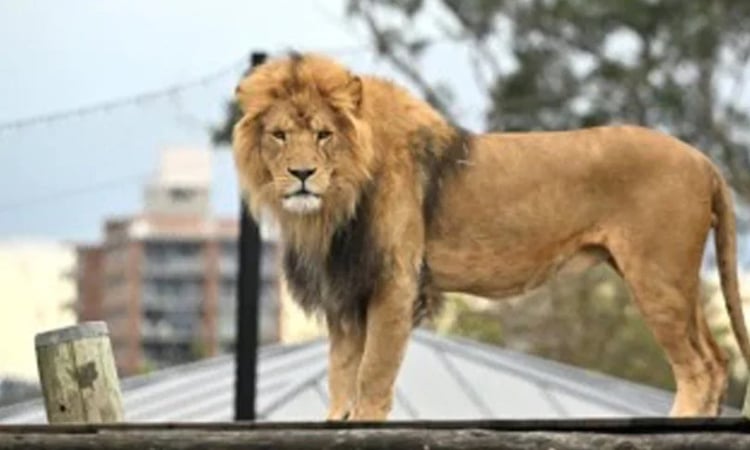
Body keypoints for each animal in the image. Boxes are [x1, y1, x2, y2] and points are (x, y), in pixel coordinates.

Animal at [232, 53, 750, 420]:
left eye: (323, 135)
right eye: (279, 135)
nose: (302, 174)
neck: (333, 207)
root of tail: (703, 160)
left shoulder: (394, 283)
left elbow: (372, 376)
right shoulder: (346, 293)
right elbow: (341, 376)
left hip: (657, 275)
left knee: (699, 366)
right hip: (674, 280)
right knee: (718, 360)